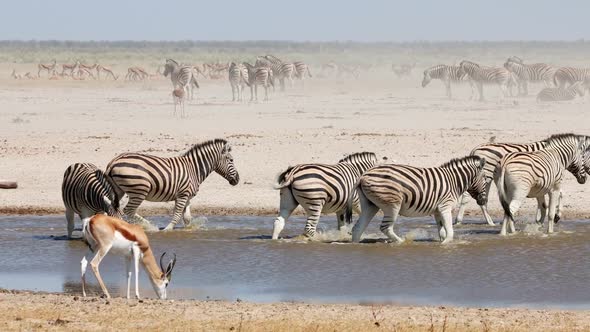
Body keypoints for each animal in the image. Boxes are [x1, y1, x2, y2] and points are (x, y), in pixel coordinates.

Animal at [106, 138, 240, 231]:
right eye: (231, 160)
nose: (237, 179)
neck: (194, 169)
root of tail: (114, 161)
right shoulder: (182, 195)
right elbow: (177, 215)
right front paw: (168, 229)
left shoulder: (187, 196)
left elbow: (187, 218)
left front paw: (188, 230)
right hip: (139, 190)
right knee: (129, 210)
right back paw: (150, 227)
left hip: (119, 190)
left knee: (115, 210)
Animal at [352, 156, 490, 244]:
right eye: (484, 178)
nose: (484, 201)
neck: (454, 181)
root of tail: (363, 176)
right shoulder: (445, 206)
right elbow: (450, 233)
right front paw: (446, 244)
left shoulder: (437, 210)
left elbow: (442, 231)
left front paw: (441, 243)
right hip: (392, 205)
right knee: (385, 228)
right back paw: (402, 242)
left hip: (370, 205)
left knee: (357, 228)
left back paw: (355, 244)